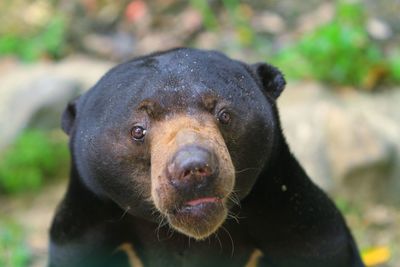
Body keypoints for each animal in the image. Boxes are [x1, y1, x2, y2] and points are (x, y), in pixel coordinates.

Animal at [48, 48, 364, 267]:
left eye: (224, 115)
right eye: (138, 131)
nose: (194, 168)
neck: (193, 239)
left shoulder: (303, 233)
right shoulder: (84, 238)